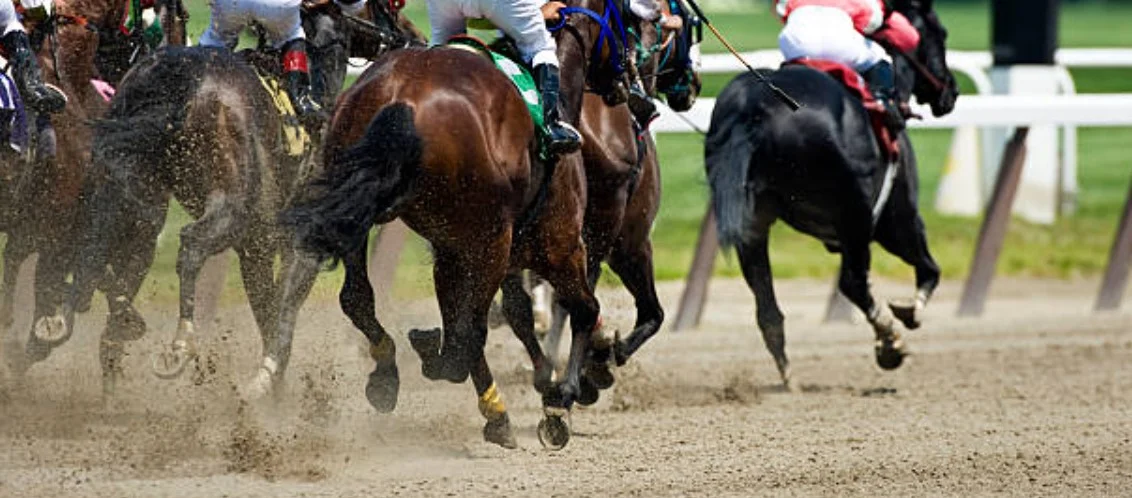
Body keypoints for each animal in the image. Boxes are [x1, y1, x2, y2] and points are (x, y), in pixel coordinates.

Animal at [705, 0, 958, 390]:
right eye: (940, 33)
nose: (951, 92)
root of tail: (755, 107)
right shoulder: (896, 218)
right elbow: (929, 269)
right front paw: (908, 314)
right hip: (856, 215)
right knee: (852, 282)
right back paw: (890, 344)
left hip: (753, 224)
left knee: (767, 308)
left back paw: (788, 376)